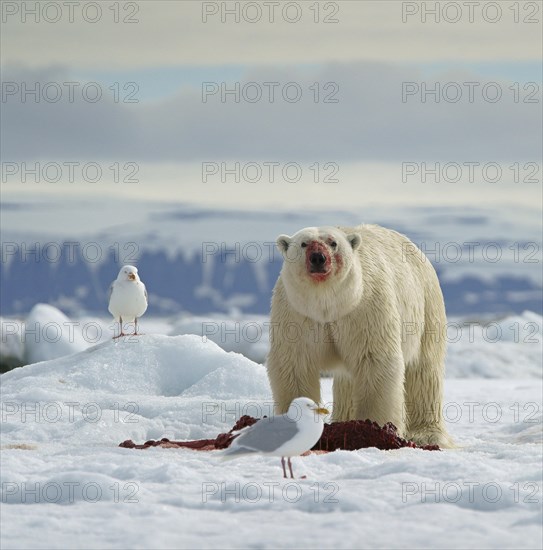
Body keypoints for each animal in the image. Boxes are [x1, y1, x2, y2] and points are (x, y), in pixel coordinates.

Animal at [268, 226, 454, 450]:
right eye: (304, 243)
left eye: (333, 243)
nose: (318, 258)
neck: (327, 304)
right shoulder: (297, 314)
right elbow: (295, 364)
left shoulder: (364, 309)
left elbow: (374, 362)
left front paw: (375, 429)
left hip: (427, 307)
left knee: (423, 371)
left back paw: (426, 435)